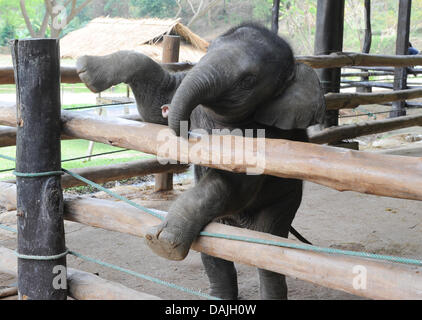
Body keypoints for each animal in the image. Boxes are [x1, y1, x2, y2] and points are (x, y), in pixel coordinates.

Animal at [76, 23, 326, 300]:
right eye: (207, 50)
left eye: (248, 81)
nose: (188, 133)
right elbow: (154, 105)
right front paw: (85, 67)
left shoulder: (267, 137)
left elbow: (236, 185)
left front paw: (162, 243)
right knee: (213, 252)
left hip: (285, 201)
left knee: (268, 253)